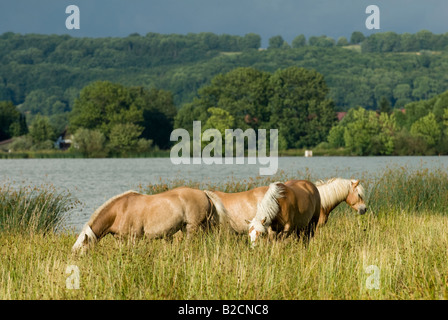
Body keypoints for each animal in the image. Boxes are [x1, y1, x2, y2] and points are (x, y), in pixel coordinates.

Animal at [73, 188, 229, 252]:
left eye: (81, 250)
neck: (119, 211)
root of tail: (204, 193)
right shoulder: (120, 239)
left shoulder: (133, 238)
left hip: (192, 228)